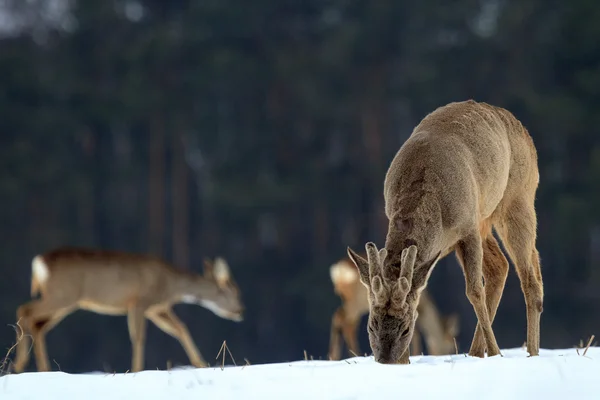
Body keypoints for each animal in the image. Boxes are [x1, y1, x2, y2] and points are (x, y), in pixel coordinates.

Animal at [11, 248, 244, 374]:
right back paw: (20, 364)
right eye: (234, 291)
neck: (172, 286)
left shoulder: (157, 308)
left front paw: (201, 363)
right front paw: (137, 369)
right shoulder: (139, 302)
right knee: (24, 310)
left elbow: (180, 328)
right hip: (62, 294)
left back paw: (42, 369)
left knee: (37, 323)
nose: (241, 311)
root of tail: (39, 263)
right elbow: (138, 336)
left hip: (66, 301)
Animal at [326, 258, 458, 360]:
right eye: (450, 346)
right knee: (342, 318)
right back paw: (354, 354)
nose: (446, 354)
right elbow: (415, 333)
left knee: (344, 320)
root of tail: (339, 270)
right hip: (356, 301)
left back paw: (335, 356)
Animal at [346, 99, 544, 362]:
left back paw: (531, 352)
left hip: (518, 198)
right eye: (371, 325)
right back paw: (475, 353)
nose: (386, 360)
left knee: (529, 277)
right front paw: (405, 362)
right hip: (485, 219)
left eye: (405, 329)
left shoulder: (467, 227)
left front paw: (496, 352)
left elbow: (474, 291)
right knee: (500, 267)